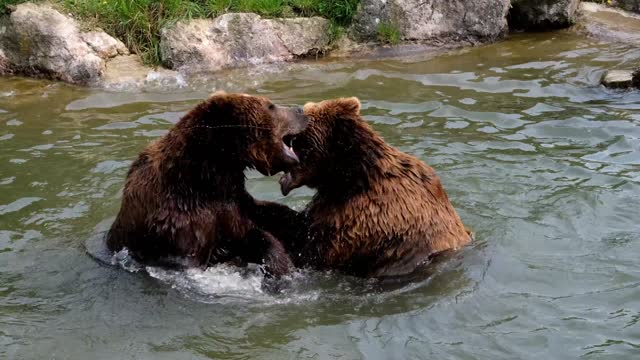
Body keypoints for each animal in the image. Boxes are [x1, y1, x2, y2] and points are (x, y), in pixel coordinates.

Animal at [255, 97, 470, 278]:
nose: (294, 108)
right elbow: (297, 222)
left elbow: (310, 250)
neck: (350, 177)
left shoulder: (363, 218)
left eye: (304, 110)